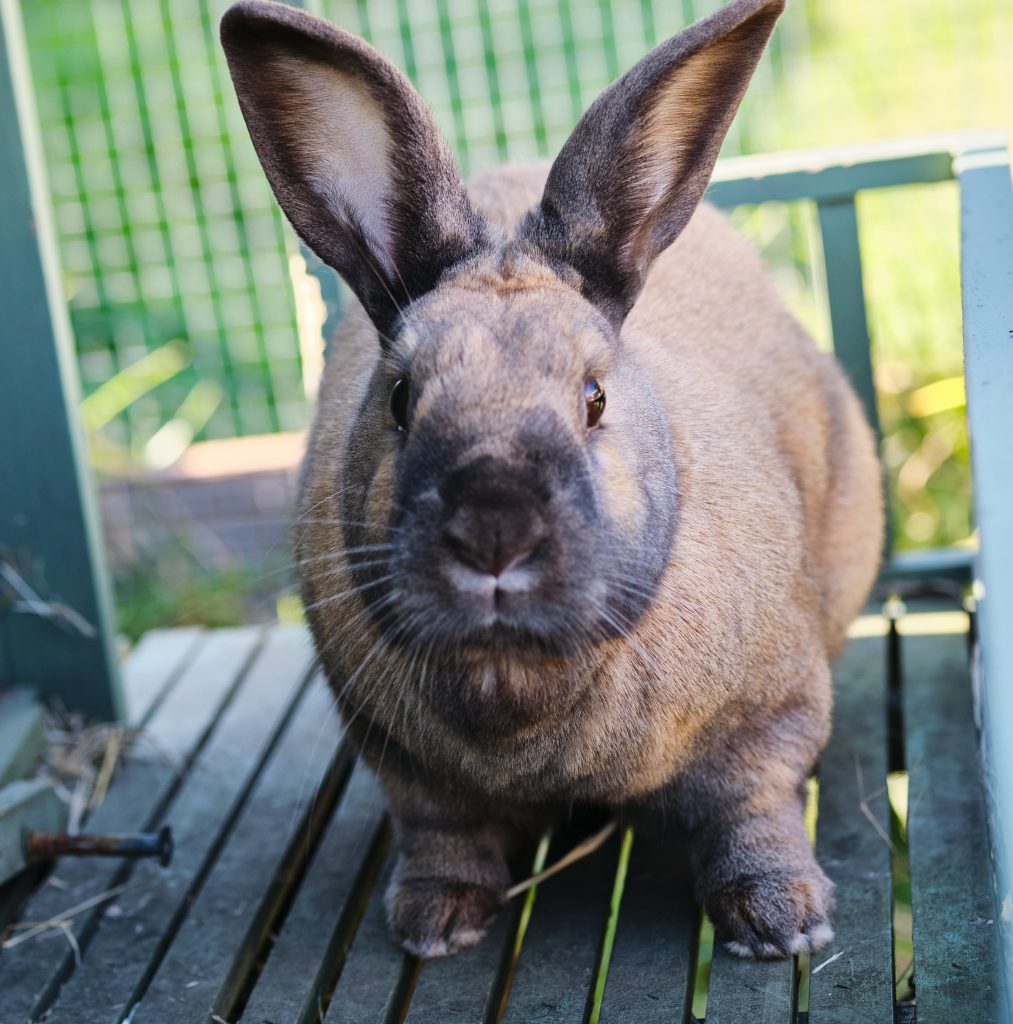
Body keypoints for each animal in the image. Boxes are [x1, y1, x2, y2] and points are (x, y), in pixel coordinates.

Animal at [219, 0, 876, 958]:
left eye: (594, 397)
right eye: (401, 397)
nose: (494, 531)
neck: (514, 679)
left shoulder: (769, 712)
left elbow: (752, 810)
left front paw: (781, 922)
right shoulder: (403, 768)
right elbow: (441, 833)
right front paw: (434, 924)